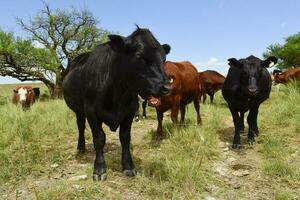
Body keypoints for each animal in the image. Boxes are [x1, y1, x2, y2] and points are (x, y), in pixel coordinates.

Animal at [62, 25, 171, 180]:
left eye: (164, 58)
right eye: (139, 56)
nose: (167, 87)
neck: (118, 92)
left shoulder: (130, 111)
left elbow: (125, 138)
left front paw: (128, 166)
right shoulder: (91, 111)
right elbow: (99, 138)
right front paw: (99, 169)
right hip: (78, 110)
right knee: (81, 127)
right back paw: (81, 148)